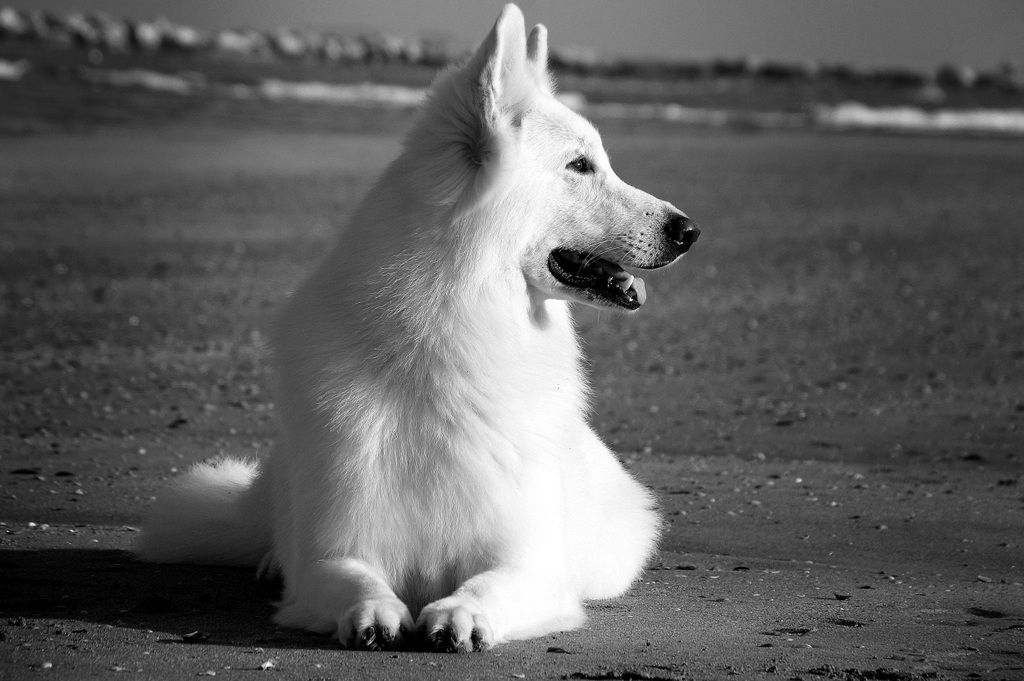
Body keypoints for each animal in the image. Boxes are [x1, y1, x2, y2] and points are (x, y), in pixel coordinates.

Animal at [136, 3, 699, 652]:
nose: (689, 231)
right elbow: (350, 575)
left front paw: (461, 613)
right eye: (579, 165)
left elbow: (490, 583)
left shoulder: (528, 562)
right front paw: (374, 612)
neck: (450, 336)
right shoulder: (335, 546)